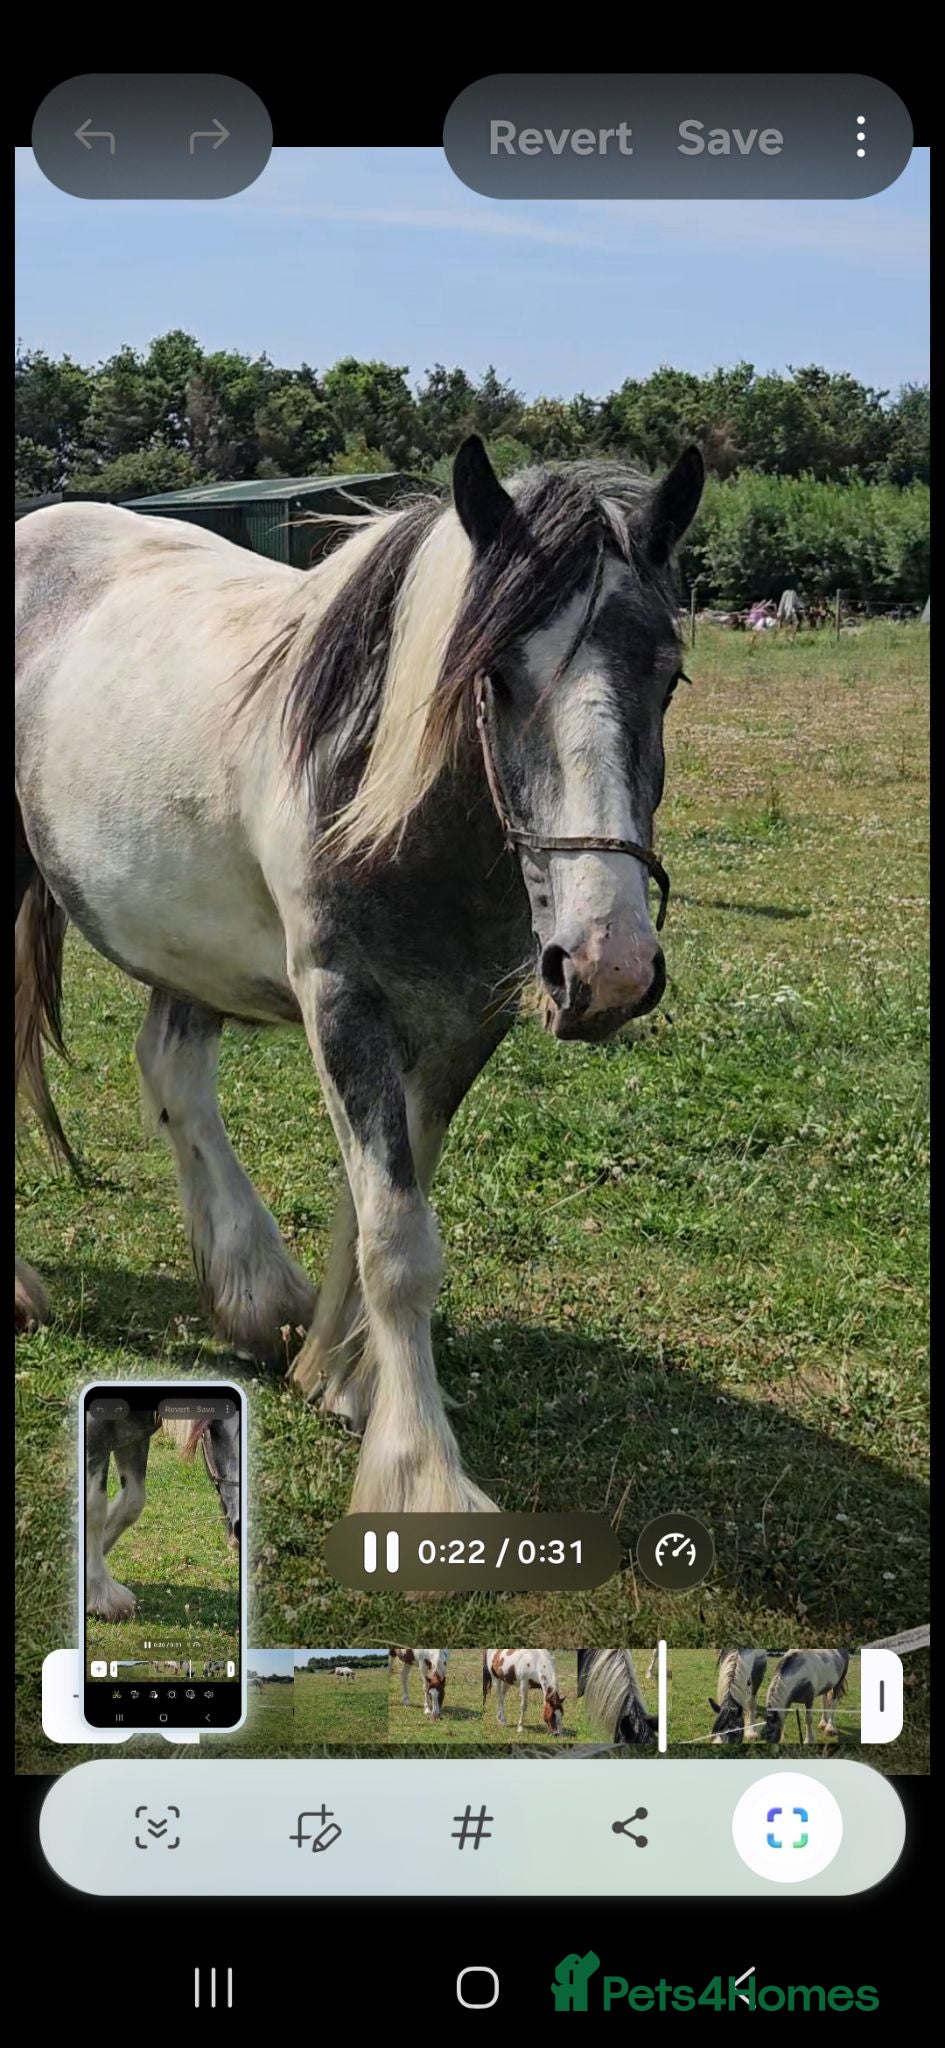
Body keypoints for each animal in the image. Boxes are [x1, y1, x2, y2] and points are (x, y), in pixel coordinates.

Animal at [15, 439, 704, 1519]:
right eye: (495, 675)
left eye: (669, 678)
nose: (609, 966)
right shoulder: (343, 1002)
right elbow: (398, 1238)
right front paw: (420, 1472)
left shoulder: (462, 1022)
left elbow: (378, 1200)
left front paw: (344, 1375)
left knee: (172, 1073)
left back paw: (254, 1292)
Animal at [85, 1406, 240, 1620]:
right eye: (213, 1429)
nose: (239, 1530)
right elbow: (94, 1510)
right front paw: (100, 1595)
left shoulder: (134, 1436)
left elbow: (132, 1504)